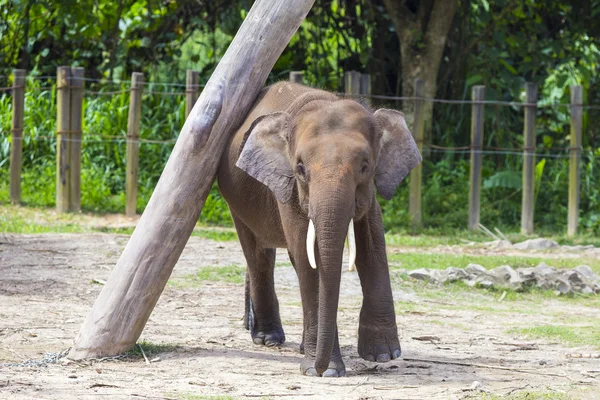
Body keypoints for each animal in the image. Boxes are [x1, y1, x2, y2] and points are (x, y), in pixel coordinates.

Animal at [217, 79, 422, 376]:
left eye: (365, 166)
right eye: (301, 168)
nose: (320, 367)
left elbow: (372, 243)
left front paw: (383, 355)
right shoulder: (288, 188)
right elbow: (308, 257)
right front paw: (324, 371)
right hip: (236, 200)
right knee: (258, 255)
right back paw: (268, 339)